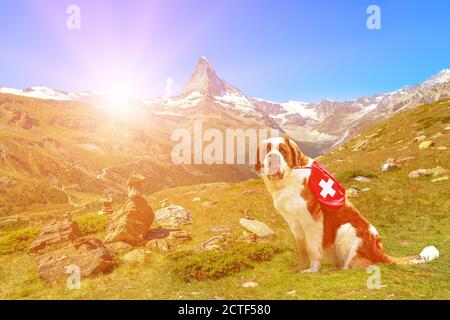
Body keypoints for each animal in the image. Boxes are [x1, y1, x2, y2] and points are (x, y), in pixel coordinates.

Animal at [256, 136, 440, 272]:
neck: (288, 178)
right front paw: (299, 267)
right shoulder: (294, 222)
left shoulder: (311, 220)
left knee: (359, 265)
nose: (272, 157)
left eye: (282, 150)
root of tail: (380, 251)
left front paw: (312, 270)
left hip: (346, 229)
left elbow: (312, 247)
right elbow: (302, 247)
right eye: (267, 151)